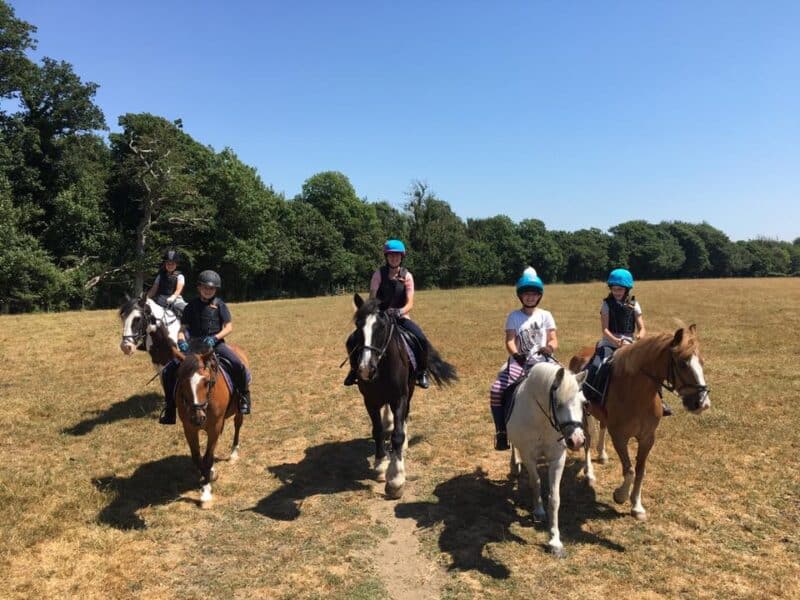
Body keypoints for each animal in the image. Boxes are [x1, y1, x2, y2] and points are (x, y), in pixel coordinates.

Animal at [350, 294, 456, 496]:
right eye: (358, 326)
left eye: (381, 327)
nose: (366, 369)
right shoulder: (370, 400)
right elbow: (377, 430)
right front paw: (380, 465)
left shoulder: (400, 397)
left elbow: (397, 434)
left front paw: (396, 479)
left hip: (411, 389)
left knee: (405, 416)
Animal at [506, 360, 588, 556]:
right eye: (557, 403)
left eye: (584, 403)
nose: (576, 440)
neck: (542, 421)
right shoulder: (528, 456)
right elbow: (535, 483)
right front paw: (538, 511)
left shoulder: (557, 459)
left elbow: (555, 498)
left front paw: (555, 541)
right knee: (513, 447)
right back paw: (514, 466)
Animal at [572, 326, 708, 516]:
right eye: (682, 363)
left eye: (702, 362)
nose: (702, 403)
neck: (637, 393)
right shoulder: (619, 437)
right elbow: (629, 470)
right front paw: (620, 496)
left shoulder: (647, 438)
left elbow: (640, 471)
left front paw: (637, 505)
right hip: (584, 413)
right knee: (588, 440)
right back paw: (590, 474)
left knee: (602, 427)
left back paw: (602, 455)